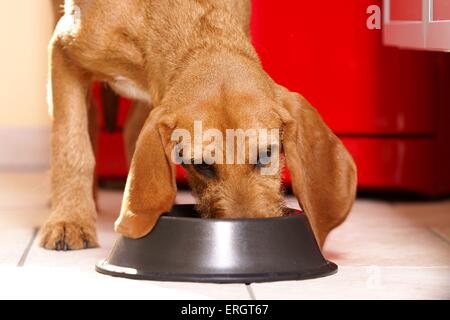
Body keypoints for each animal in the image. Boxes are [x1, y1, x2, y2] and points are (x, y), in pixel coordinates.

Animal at [43, 0, 358, 250]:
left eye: (267, 154)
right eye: (201, 165)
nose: (247, 237)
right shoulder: (63, 51)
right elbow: (71, 146)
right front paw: (70, 220)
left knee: (129, 127)